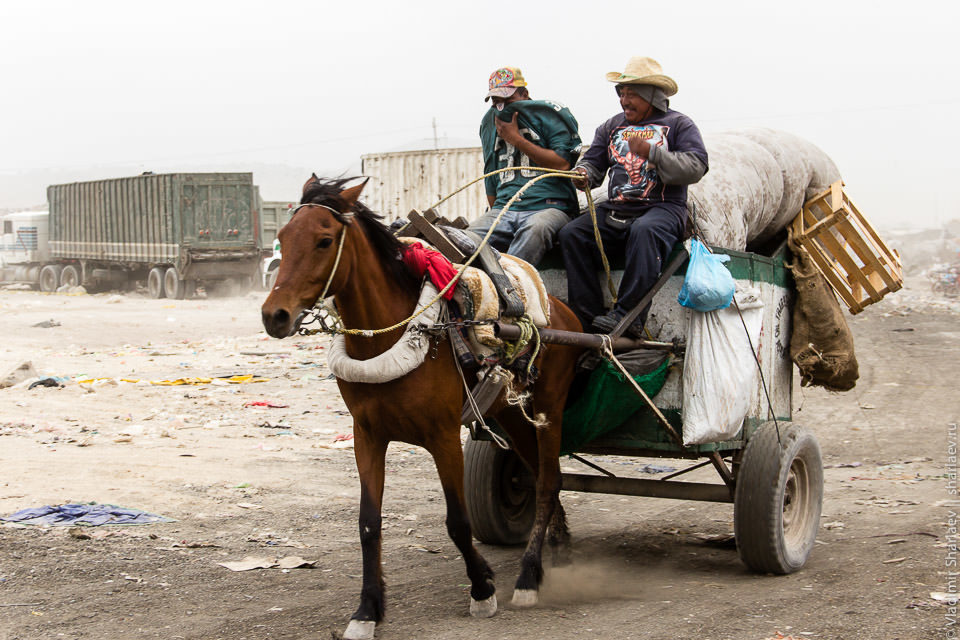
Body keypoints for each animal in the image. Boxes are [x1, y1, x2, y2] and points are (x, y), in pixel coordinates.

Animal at [258, 176, 580, 640]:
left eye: (323, 240)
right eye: (282, 238)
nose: (275, 316)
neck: (389, 336)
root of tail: (565, 312)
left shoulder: (443, 436)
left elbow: (458, 522)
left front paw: (482, 589)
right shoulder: (367, 436)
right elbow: (368, 524)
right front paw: (367, 609)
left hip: (548, 407)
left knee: (549, 481)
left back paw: (528, 577)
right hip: (507, 412)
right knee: (540, 475)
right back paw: (560, 545)